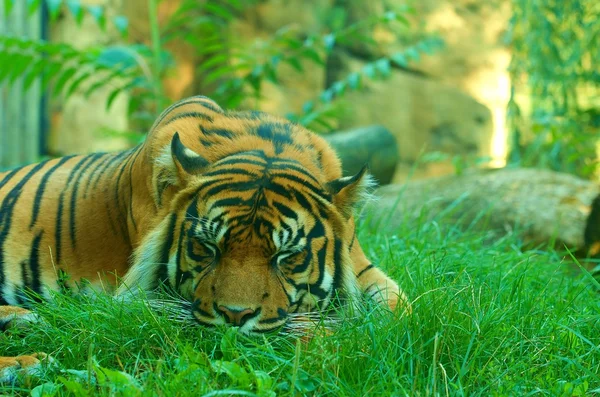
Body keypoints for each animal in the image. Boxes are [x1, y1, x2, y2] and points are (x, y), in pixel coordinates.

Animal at [0, 95, 408, 380]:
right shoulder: (140, 300)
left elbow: (401, 311)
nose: (235, 316)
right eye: (207, 248)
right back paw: (25, 362)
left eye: (286, 256)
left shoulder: (363, 268)